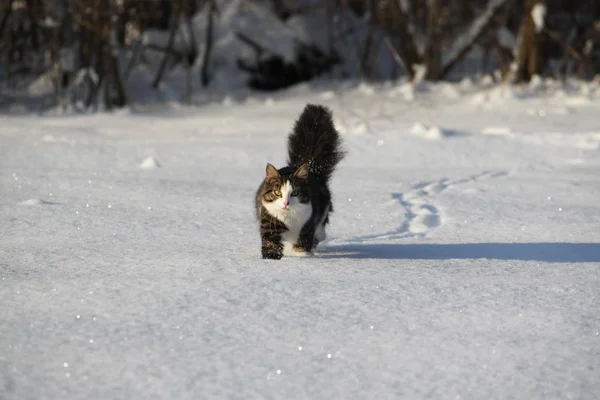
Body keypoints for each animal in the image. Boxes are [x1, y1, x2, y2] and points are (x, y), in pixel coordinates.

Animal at [255, 103, 344, 260]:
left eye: (295, 193)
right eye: (277, 192)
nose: (285, 203)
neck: (288, 218)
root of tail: (311, 168)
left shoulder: (308, 224)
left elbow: (303, 244)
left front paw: (301, 256)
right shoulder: (269, 221)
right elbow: (270, 244)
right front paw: (271, 258)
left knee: (320, 234)